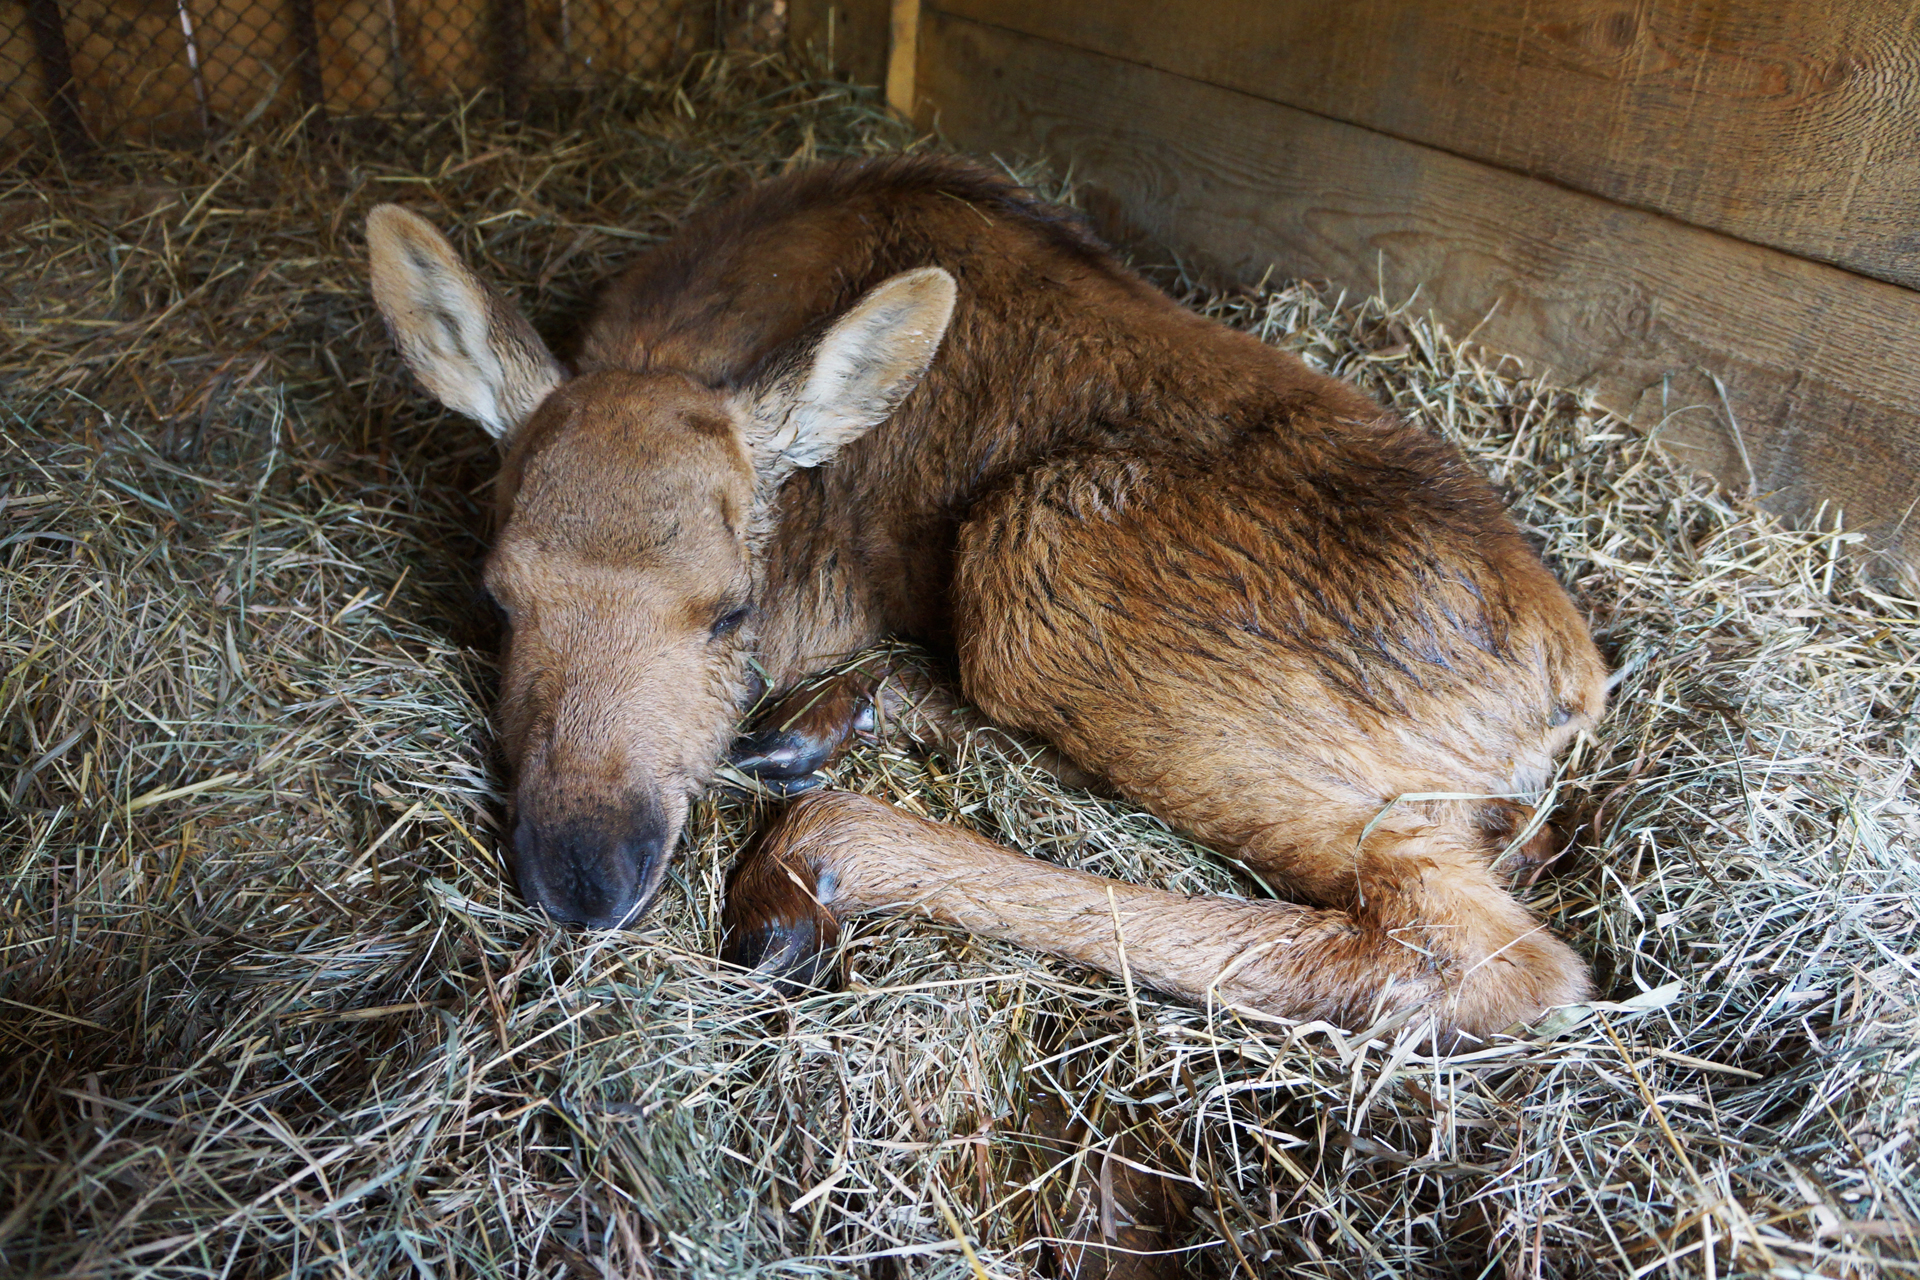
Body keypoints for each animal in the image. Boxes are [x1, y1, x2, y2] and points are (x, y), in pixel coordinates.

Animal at [362, 155, 1605, 1043]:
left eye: (731, 608)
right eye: (498, 597)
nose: (584, 871)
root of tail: (1574, 684)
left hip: (1032, 552)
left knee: (1491, 951)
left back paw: (820, 844)